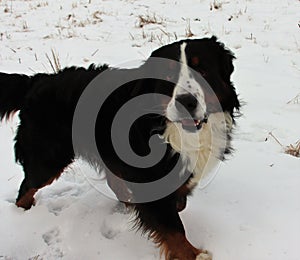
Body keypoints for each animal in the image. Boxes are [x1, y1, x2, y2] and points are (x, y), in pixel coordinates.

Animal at [0, 37, 239, 260]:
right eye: (167, 77)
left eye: (203, 70)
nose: (186, 102)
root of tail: (38, 80)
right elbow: (173, 228)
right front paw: (194, 254)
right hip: (47, 158)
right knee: (26, 189)